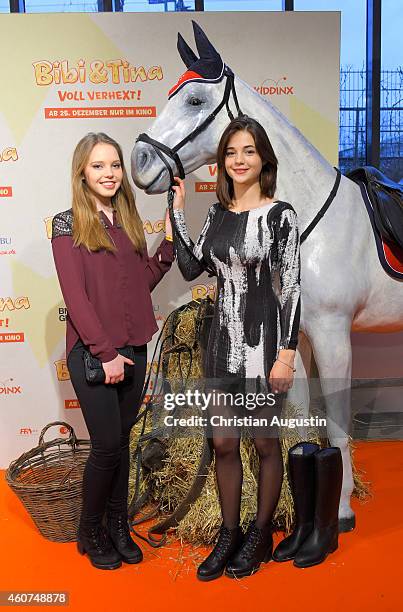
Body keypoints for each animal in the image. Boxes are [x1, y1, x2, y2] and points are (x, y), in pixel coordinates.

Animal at [133, 22, 403, 532]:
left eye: (194, 99)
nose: (139, 161)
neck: (311, 220)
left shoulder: (334, 335)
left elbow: (336, 421)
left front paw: (341, 509)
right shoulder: (300, 337)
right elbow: (299, 414)